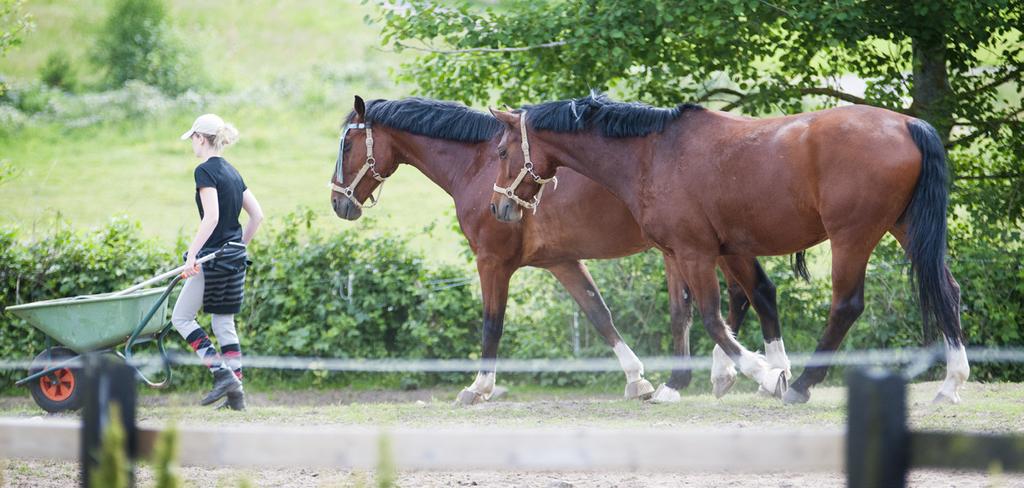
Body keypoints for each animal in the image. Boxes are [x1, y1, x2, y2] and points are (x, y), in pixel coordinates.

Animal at [327, 95, 790, 403]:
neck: (480, 166)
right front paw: (636, 379)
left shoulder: (492, 263)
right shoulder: (562, 262)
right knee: (740, 299)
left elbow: (492, 324)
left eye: (347, 146)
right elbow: (599, 314)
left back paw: (763, 372)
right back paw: (738, 373)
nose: (337, 202)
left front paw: (478, 387)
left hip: (719, 249)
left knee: (755, 294)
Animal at [491, 94, 970, 403]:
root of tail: (908, 124)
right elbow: (684, 316)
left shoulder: (696, 253)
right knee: (947, 291)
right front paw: (675, 384)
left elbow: (713, 318)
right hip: (906, 230)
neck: (653, 154)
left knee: (846, 305)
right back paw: (951, 382)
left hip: (852, 238)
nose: (499, 207)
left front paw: (768, 374)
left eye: (501, 151)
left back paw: (801, 386)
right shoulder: (677, 253)